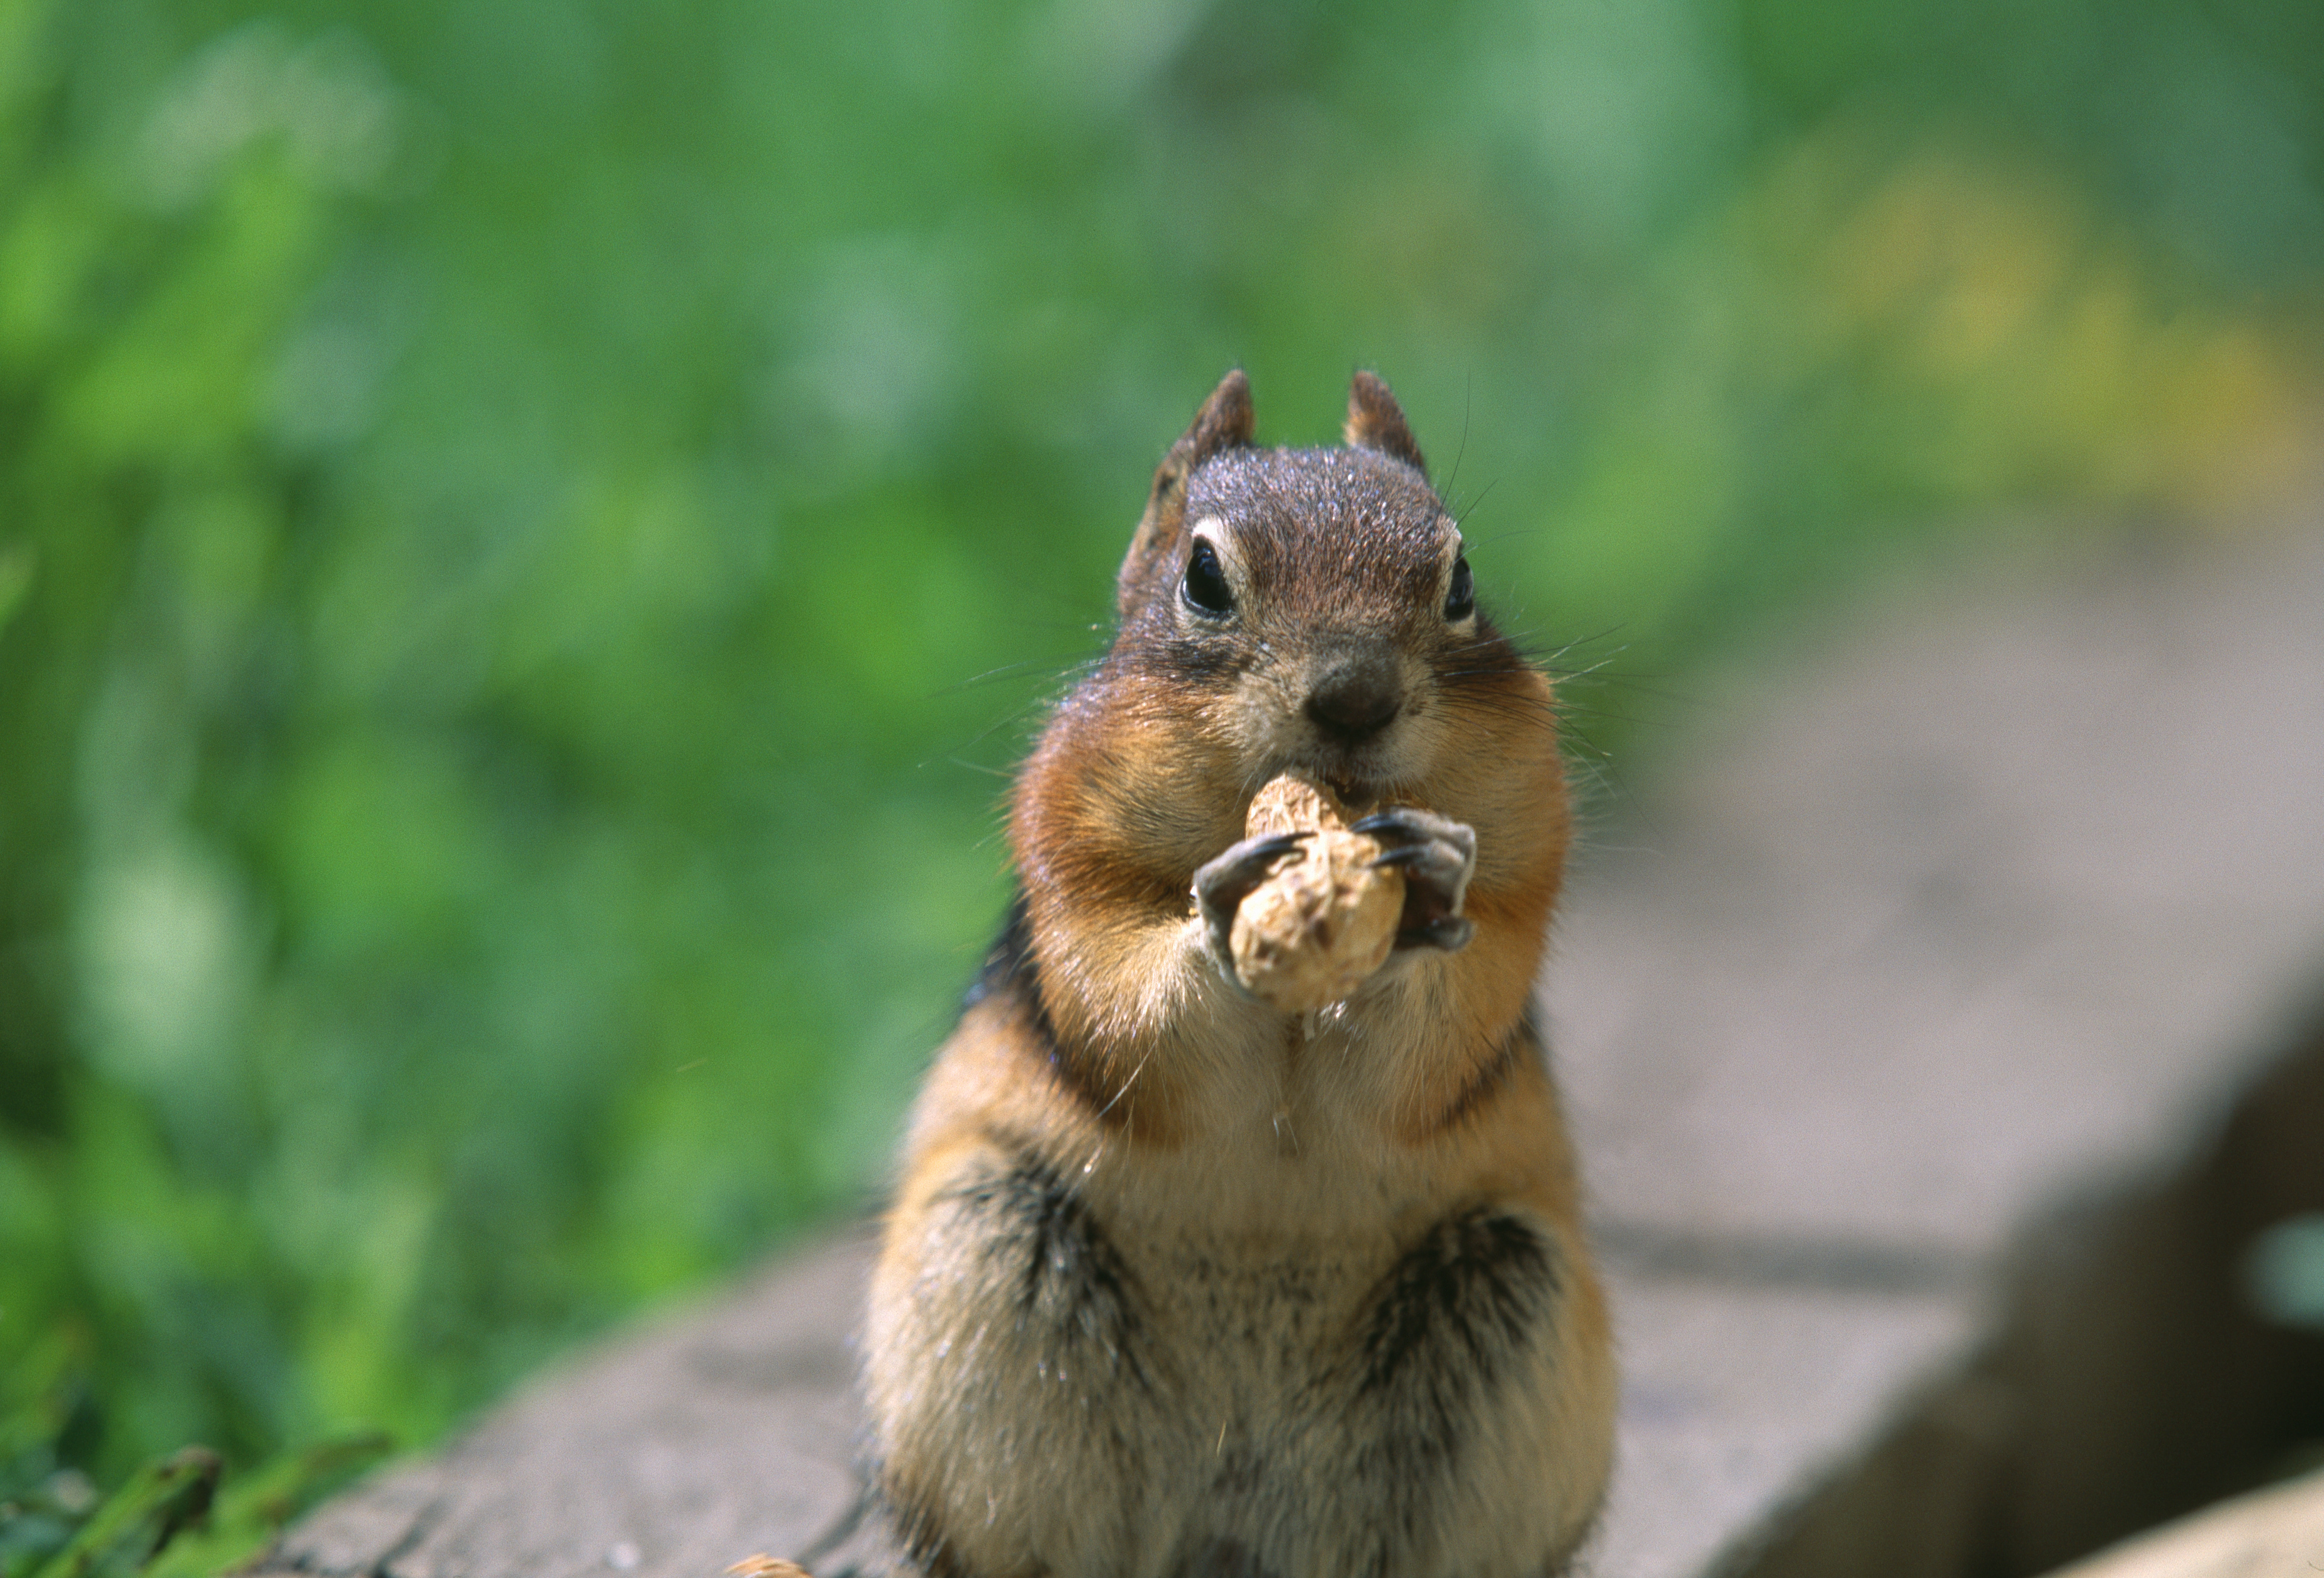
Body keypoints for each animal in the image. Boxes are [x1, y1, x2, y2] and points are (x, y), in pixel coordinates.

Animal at [859, 374, 1617, 1578]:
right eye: (1204, 579)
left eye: (1460, 580)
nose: (1354, 695)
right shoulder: (1072, 873)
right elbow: (1129, 1020)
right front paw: (1221, 911)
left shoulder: (1519, 888)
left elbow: (1431, 1051)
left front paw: (1429, 878)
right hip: (985, 1266)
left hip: (1509, 1307)